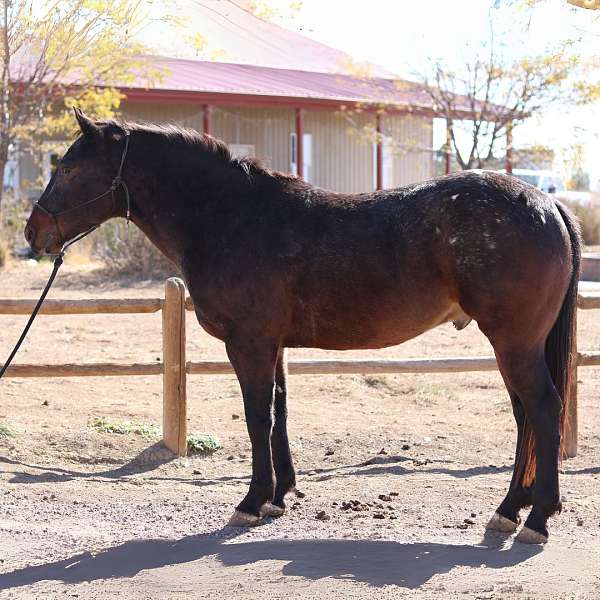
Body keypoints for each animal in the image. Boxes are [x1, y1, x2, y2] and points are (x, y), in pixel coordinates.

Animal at [24, 109, 580, 544]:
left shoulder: (248, 343)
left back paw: (536, 518)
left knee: (542, 409)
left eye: (68, 167)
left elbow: (258, 417)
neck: (233, 218)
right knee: (525, 417)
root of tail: (547, 202)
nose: (33, 233)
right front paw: (279, 494)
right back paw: (509, 510)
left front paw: (252, 501)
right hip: (512, 345)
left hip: (513, 342)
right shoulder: (274, 345)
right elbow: (280, 411)